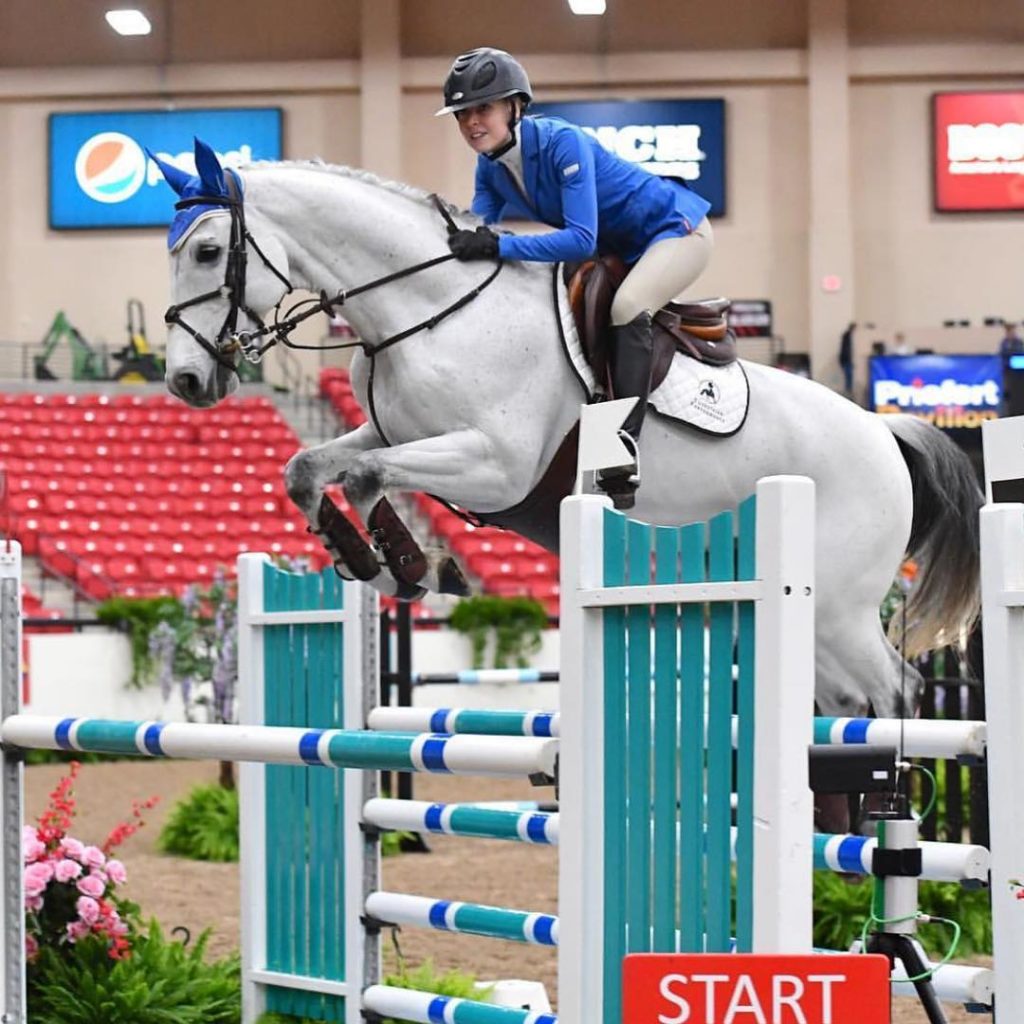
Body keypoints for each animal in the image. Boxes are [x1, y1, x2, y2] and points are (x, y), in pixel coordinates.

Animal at [155, 142, 978, 720]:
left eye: (206, 251)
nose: (186, 381)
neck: (430, 309)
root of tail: (887, 435)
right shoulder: (392, 433)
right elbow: (310, 469)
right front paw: (378, 563)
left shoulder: (496, 467)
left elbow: (364, 477)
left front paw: (418, 568)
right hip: (818, 617)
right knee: (847, 707)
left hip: (840, 607)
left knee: (898, 693)